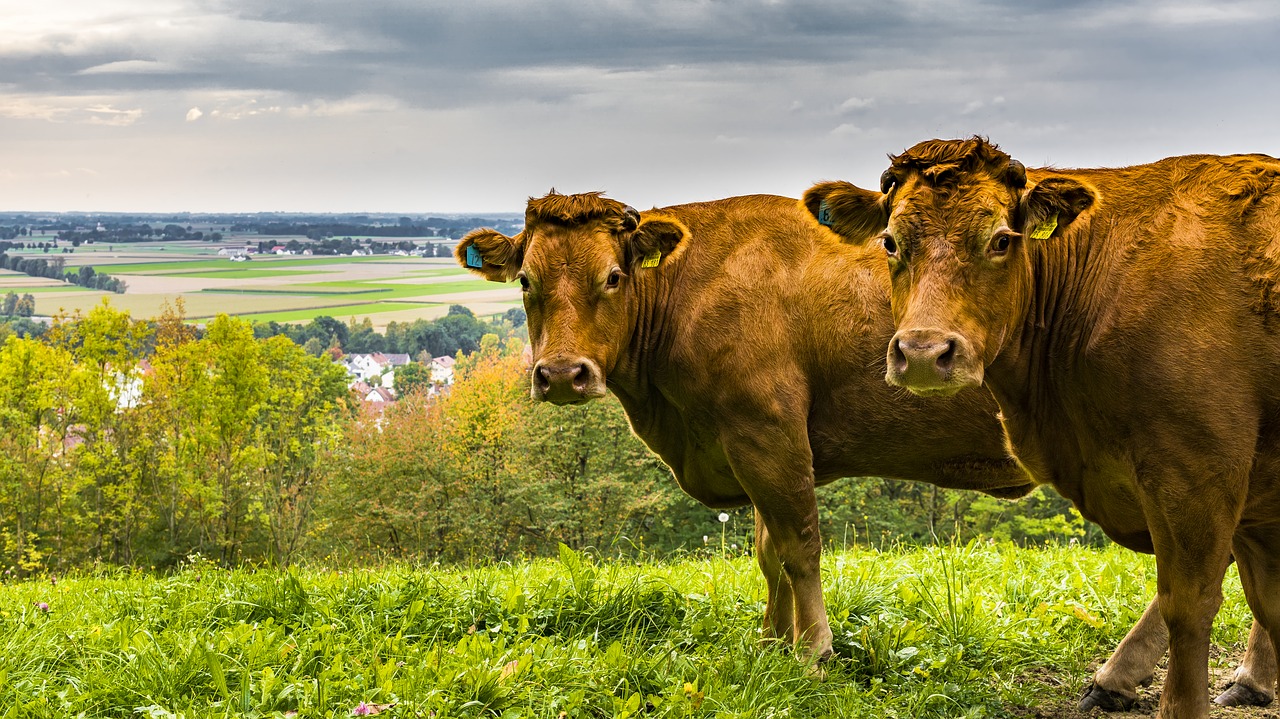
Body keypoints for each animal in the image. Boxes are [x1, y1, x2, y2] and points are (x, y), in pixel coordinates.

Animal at [455, 188, 1244, 701]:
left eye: (614, 276)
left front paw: (813, 652)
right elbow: (767, 552)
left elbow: (798, 545)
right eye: (525, 280)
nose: (562, 374)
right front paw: (771, 642)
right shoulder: (747, 441)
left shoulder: (767, 430)